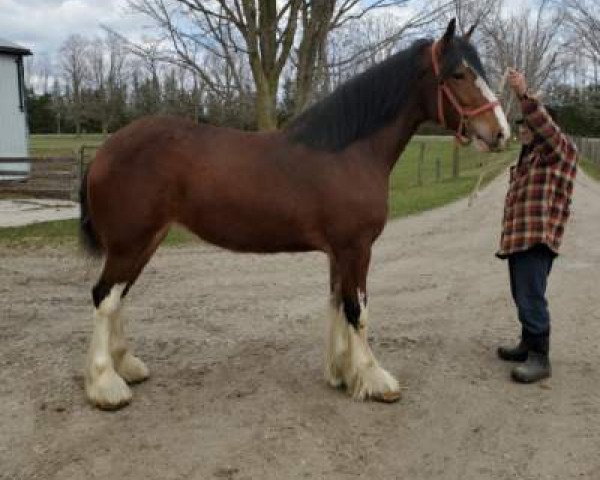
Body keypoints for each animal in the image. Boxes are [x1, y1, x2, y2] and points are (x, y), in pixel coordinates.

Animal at [81, 19, 510, 408]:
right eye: (459, 74)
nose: (501, 132)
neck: (349, 152)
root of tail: (105, 150)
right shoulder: (357, 248)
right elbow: (358, 310)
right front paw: (374, 378)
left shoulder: (340, 252)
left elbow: (338, 303)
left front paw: (342, 373)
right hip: (130, 242)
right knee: (104, 297)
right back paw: (106, 385)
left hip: (145, 241)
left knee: (118, 296)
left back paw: (126, 367)